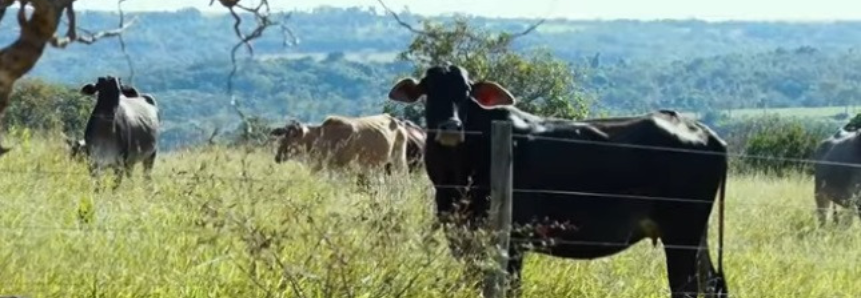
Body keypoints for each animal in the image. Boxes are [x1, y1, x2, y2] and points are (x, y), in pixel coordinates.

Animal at [268, 113, 410, 175]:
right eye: (283, 135)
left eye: (293, 136)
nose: (277, 157)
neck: (322, 136)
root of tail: (397, 122)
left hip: (399, 160)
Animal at [386, 65, 728, 298]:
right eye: (430, 90)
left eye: (467, 92)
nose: (451, 126)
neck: (456, 177)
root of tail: (705, 132)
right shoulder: (462, 237)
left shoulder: (511, 241)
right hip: (695, 234)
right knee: (712, 282)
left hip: (681, 233)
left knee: (686, 287)